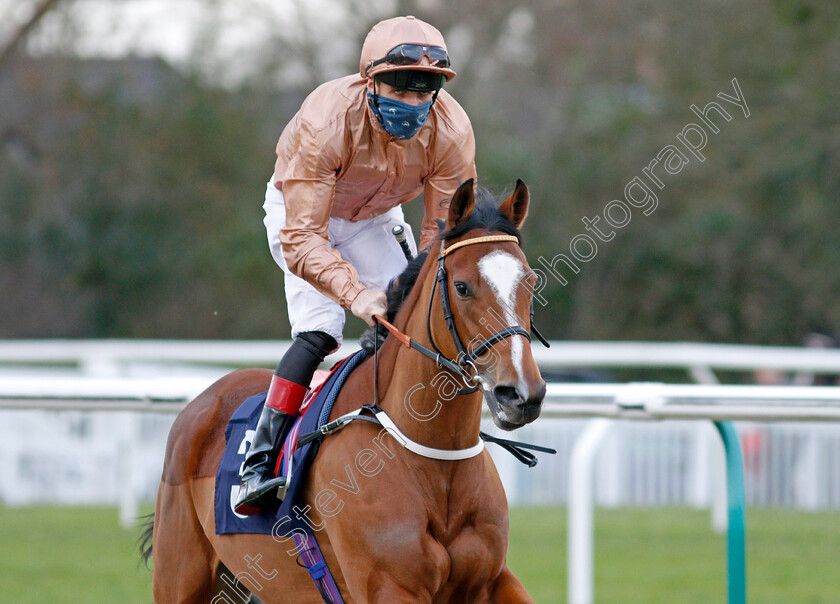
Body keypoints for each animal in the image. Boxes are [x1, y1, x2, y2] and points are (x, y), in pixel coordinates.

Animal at [144, 177, 548, 600]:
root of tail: (203, 401)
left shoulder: (492, 580)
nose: (521, 394)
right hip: (182, 580)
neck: (435, 457)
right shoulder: (390, 586)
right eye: (463, 287)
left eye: (531, 281)